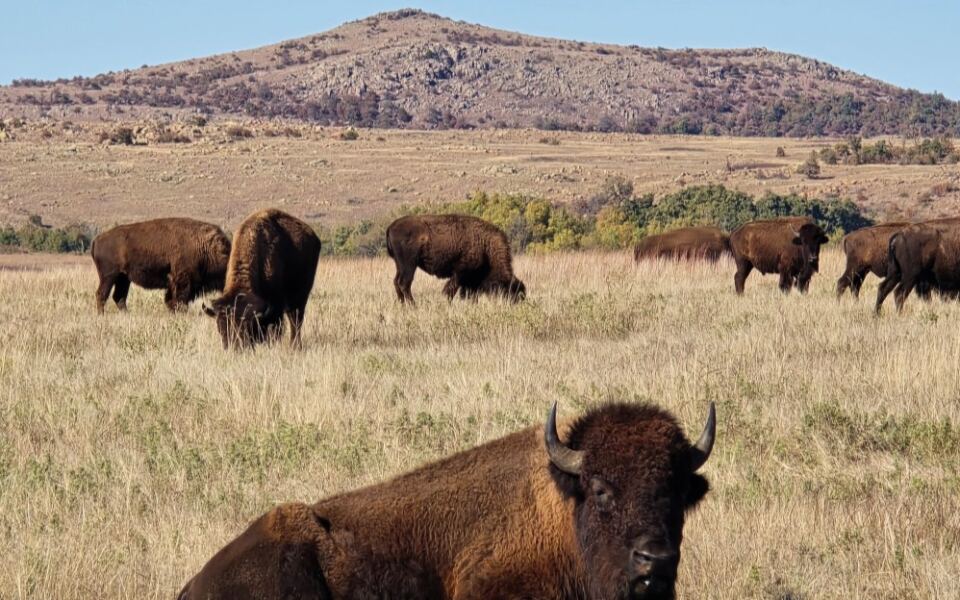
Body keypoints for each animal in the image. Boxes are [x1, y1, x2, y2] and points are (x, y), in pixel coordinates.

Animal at [91, 217, 230, 313]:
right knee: (102, 295)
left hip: (123, 278)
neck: (206, 248)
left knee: (119, 297)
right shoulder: (183, 281)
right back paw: (101, 315)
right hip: (109, 276)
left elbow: (171, 299)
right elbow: (178, 300)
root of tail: (97, 239)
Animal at [203, 209, 321, 348]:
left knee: (295, 320)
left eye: (247, 326)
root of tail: (313, 236)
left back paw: (295, 346)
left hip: (300, 296)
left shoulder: (276, 304)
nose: (234, 347)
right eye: (220, 327)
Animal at [386, 214, 526, 304]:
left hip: (399, 265)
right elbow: (451, 290)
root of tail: (391, 226)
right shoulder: (460, 273)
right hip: (409, 265)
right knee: (404, 283)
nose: (515, 304)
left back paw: (402, 304)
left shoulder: (470, 280)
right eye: (510, 291)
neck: (486, 246)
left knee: (396, 282)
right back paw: (413, 305)